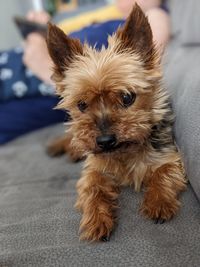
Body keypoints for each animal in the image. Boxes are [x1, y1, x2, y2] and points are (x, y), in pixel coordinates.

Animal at [46, 4, 187, 243]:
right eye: (82, 104)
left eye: (127, 97)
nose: (104, 141)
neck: (124, 152)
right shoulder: (93, 169)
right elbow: (92, 189)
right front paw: (96, 220)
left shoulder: (170, 157)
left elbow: (164, 173)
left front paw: (158, 203)